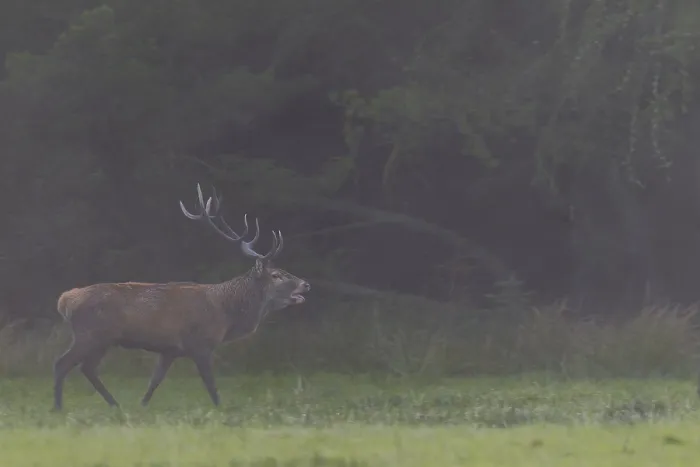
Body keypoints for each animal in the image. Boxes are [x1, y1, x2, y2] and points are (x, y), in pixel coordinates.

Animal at [52, 184, 310, 411]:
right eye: (276, 275)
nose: (305, 284)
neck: (226, 313)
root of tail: (64, 300)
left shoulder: (170, 350)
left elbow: (155, 380)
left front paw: (142, 406)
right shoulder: (201, 343)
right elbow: (211, 384)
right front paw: (221, 409)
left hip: (102, 338)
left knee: (87, 368)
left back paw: (114, 404)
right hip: (91, 333)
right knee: (63, 363)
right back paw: (58, 407)